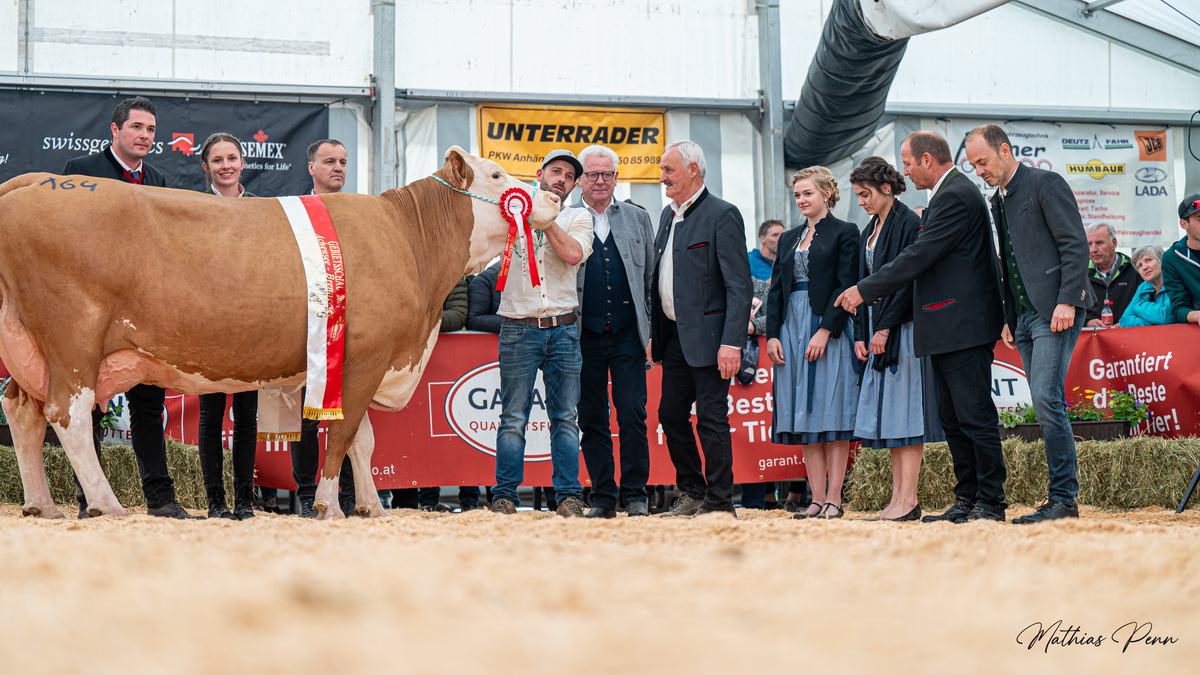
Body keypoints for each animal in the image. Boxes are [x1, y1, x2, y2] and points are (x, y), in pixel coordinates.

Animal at [0, 145, 559, 514]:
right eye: (496, 174)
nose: (552, 196)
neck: (408, 240)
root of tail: (34, 180)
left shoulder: (362, 361)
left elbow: (364, 442)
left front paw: (371, 507)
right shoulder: (368, 354)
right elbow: (343, 435)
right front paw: (330, 504)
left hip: (26, 344)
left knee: (23, 411)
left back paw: (41, 505)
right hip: (74, 335)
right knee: (68, 414)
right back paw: (106, 503)